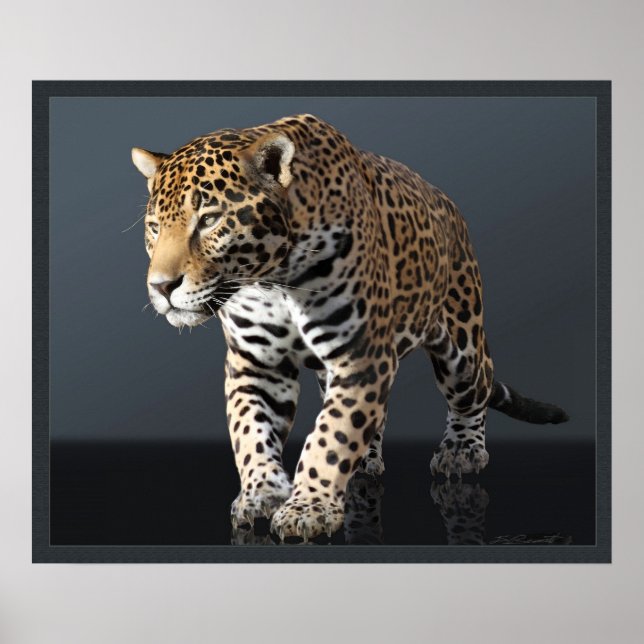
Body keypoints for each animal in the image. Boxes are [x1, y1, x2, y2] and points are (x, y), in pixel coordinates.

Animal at [131, 113, 568, 542]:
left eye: (209, 220)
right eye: (154, 227)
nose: (162, 287)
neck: (275, 280)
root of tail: (448, 205)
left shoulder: (361, 355)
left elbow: (332, 434)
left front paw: (307, 508)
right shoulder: (256, 363)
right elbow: (251, 429)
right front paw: (261, 494)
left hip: (463, 342)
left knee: (471, 393)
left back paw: (462, 451)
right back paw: (365, 463)